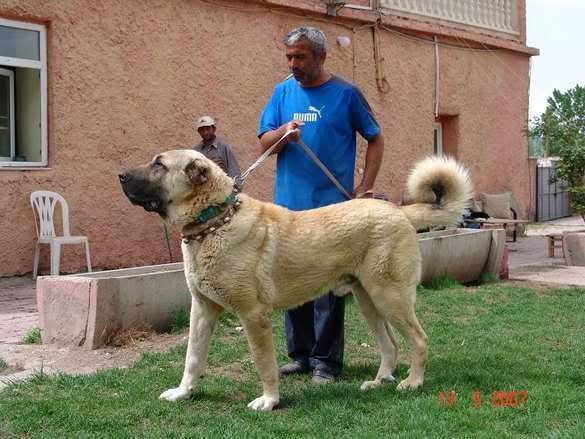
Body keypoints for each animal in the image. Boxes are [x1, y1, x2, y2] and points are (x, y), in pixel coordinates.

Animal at [118, 152, 470, 412]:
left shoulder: (253, 316)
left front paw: (269, 401)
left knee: (419, 340)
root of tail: (400, 211)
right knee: (391, 344)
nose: (120, 175)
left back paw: (412, 383)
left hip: (389, 297)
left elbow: (264, 363)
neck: (215, 221)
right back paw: (379, 381)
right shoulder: (202, 310)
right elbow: (192, 357)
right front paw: (183, 393)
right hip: (368, 300)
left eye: (160, 165)